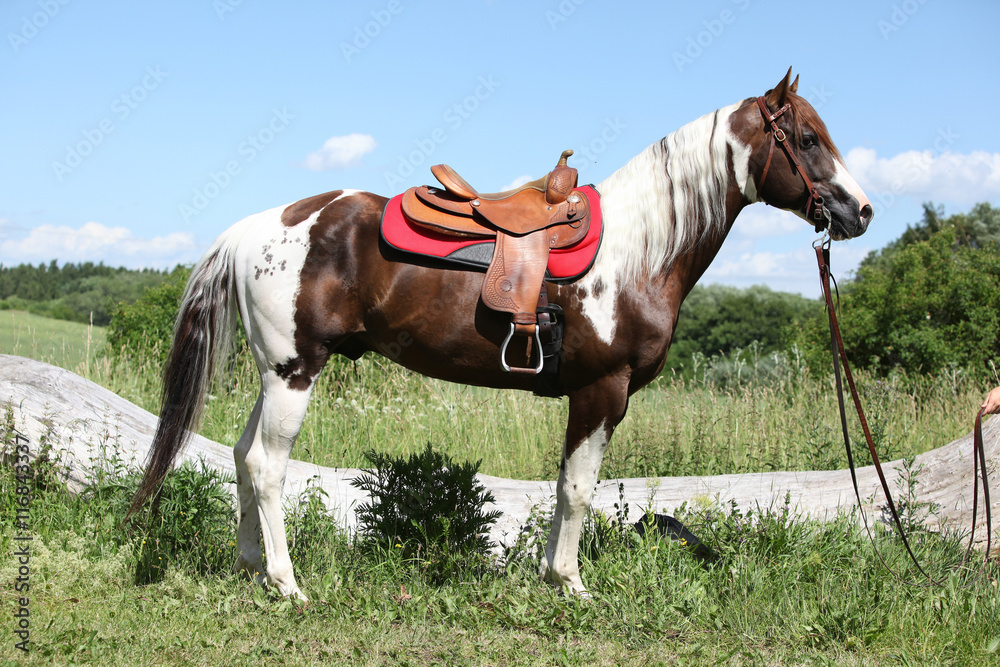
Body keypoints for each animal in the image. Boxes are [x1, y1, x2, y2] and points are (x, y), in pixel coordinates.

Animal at [128, 69, 873, 599]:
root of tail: (261, 224)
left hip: (275, 371)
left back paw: (251, 567)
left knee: (240, 455)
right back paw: (287, 583)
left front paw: (551, 574)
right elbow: (579, 489)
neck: (638, 251)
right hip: (294, 371)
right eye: (807, 139)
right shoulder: (603, 390)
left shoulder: (588, 396)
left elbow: (565, 484)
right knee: (266, 465)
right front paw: (571, 584)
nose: (861, 211)